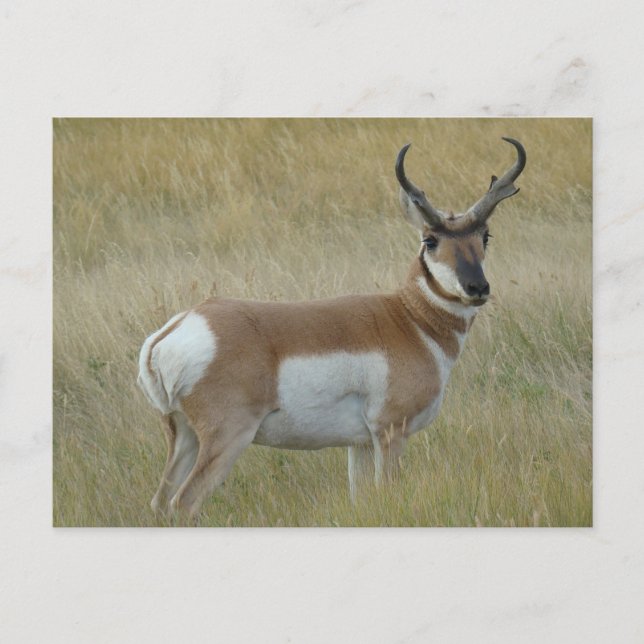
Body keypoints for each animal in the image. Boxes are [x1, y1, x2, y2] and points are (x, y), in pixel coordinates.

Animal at [138, 137, 526, 519]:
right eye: (430, 240)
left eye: (485, 236)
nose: (477, 288)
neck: (409, 321)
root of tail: (176, 330)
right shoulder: (391, 433)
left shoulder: (360, 443)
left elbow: (362, 498)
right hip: (228, 438)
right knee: (183, 503)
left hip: (184, 436)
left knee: (160, 502)